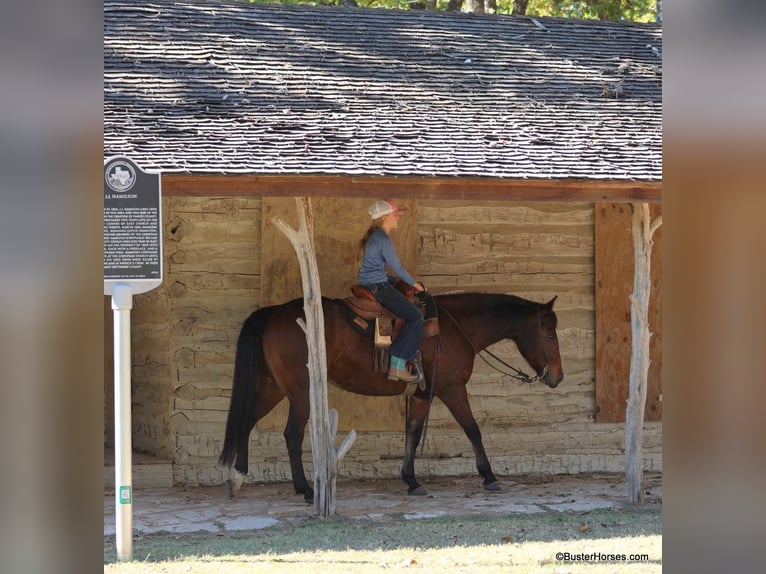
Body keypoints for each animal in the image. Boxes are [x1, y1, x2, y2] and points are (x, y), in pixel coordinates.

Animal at [219, 291, 564, 502]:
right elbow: (472, 429)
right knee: (292, 434)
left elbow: (412, 433)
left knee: (247, 421)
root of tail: (274, 313)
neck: (455, 329)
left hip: (275, 388)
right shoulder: (452, 389)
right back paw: (304, 489)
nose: (557, 377)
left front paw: (411, 480)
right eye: (549, 335)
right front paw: (489, 476)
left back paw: (238, 476)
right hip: (301, 391)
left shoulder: (423, 394)